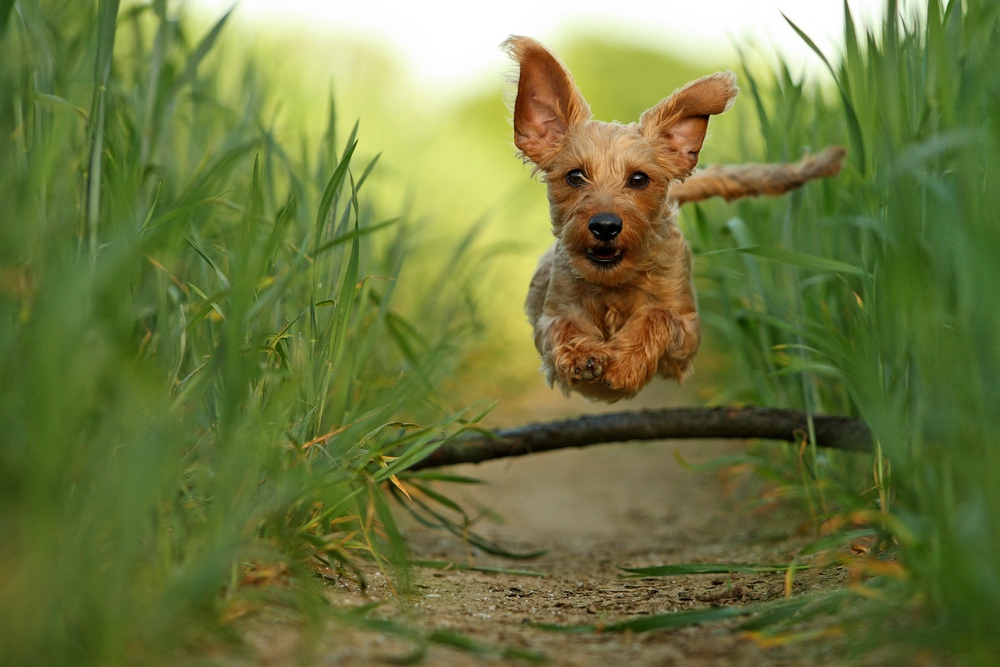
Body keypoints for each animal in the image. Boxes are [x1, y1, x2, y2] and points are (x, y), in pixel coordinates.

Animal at [504, 36, 840, 402]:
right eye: (575, 176)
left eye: (639, 179)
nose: (605, 226)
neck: (614, 285)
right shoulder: (550, 313)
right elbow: (560, 325)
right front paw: (582, 354)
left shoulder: (687, 334)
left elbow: (659, 315)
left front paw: (625, 363)